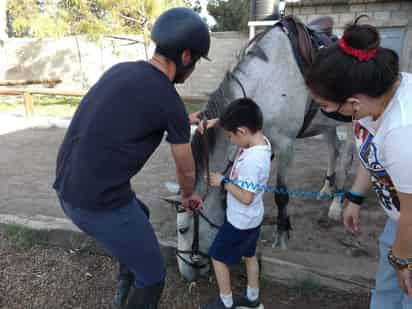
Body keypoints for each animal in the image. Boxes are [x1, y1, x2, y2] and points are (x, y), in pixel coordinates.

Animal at [174, 19, 354, 280]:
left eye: (184, 228)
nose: (185, 274)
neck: (268, 84)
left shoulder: (286, 145)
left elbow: (281, 194)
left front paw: (282, 236)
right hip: (326, 124)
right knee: (333, 149)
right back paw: (325, 189)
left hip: (351, 122)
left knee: (346, 158)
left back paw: (336, 204)